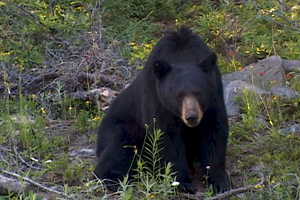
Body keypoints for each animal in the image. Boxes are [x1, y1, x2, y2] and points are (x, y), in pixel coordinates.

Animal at [95, 25, 231, 193]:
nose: (192, 117)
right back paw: (112, 179)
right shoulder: (157, 98)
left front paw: (219, 181)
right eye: (178, 95)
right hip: (120, 126)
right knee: (121, 144)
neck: (182, 54)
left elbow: (213, 130)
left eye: (199, 93)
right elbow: (165, 136)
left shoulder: (214, 96)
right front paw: (182, 182)